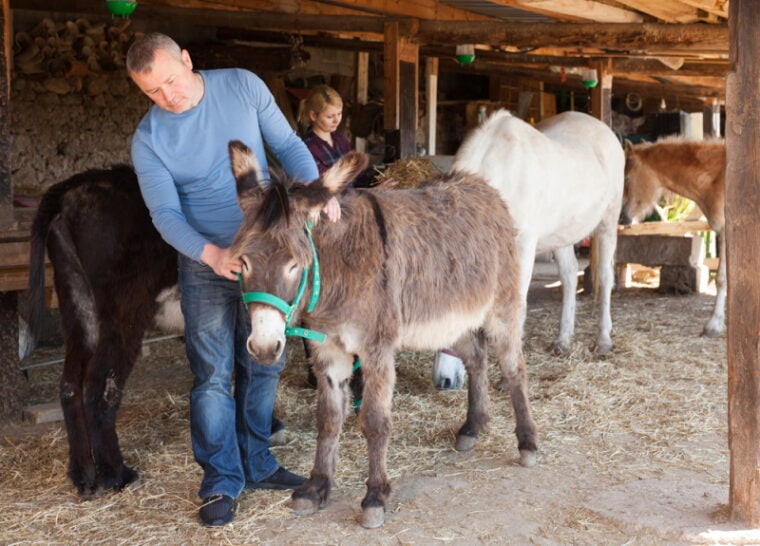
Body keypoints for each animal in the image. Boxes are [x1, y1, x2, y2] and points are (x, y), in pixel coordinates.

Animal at [229, 141, 536, 528]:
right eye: (243, 262)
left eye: (294, 265)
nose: (265, 348)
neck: (337, 270)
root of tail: (482, 186)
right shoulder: (328, 350)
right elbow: (328, 419)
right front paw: (316, 487)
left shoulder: (375, 349)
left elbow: (374, 421)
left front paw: (375, 496)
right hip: (452, 319)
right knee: (477, 359)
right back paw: (472, 428)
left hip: (502, 307)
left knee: (514, 369)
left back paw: (527, 444)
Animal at [434, 108, 624, 386]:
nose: (443, 381)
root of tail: (605, 130)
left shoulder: (522, 247)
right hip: (562, 235)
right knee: (569, 276)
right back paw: (562, 340)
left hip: (607, 223)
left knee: (605, 276)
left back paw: (603, 341)